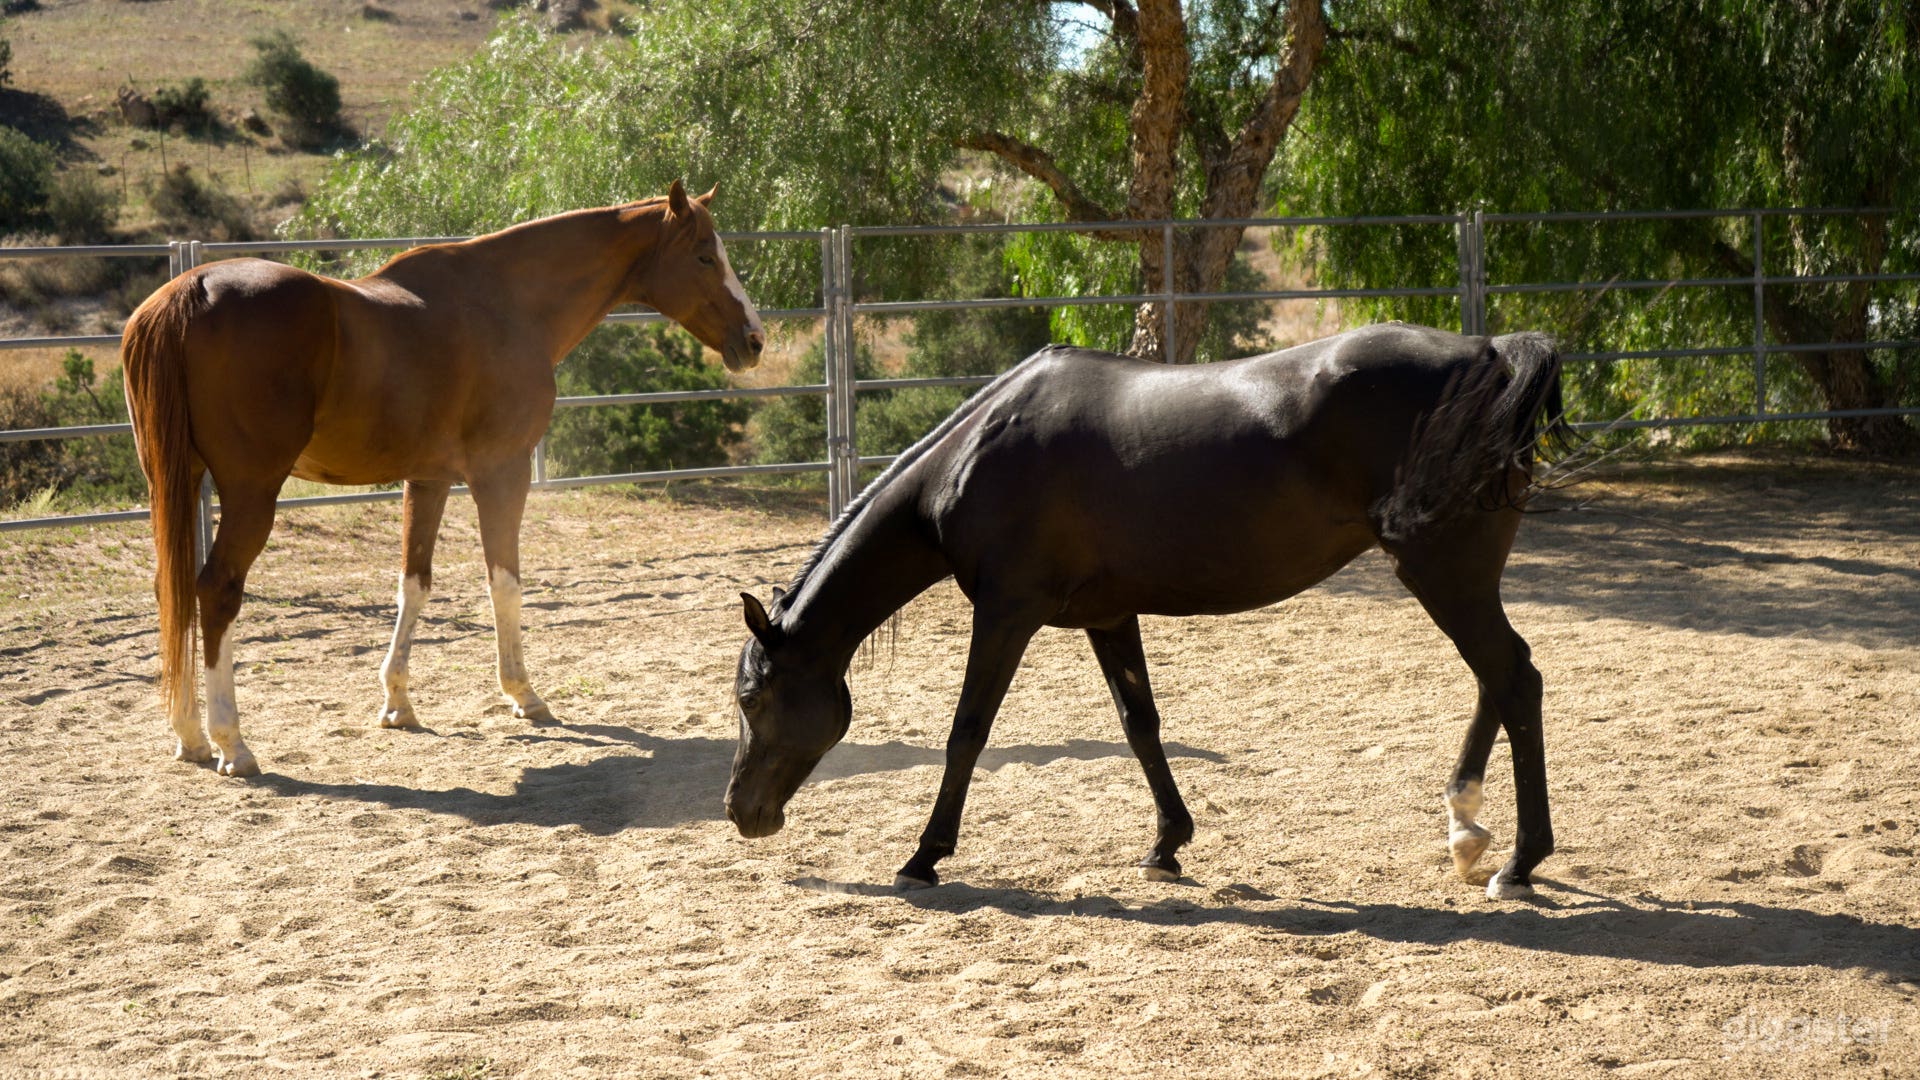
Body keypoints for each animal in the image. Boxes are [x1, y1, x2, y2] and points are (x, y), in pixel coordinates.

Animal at [121, 180, 764, 777]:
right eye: (704, 257)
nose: (755, 340)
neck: (507, 304)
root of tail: (189, 290)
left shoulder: (426, 481)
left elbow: (414, 585)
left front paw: (398, 703)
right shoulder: (500, 473)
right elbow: (504, 583)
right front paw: (524, 694)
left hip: (176, 483)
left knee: (171, 589)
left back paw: (190, 736)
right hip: (251, 492)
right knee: (216, 590)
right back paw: (231, 743)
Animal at [726, 322, 1569, 901]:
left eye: (753, 698)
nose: (739, 811)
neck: (979, 455)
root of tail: (1490, 354)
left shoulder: (1005, 613)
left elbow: (967, 732)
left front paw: (924, 856)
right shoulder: (1108, 617)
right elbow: (1141, 724)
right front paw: (1167, 844)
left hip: (1442, 572)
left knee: (1513, 678)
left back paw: (1518, 861)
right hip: (1454, 575)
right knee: (1498, 680)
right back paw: (1467, 828)